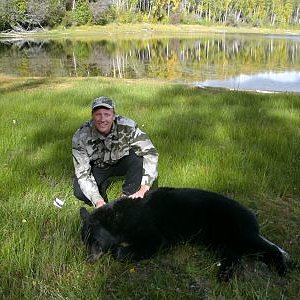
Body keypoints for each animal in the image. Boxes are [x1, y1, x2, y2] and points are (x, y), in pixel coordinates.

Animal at [79, 186, 288, 280]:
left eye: (94, 241)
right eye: (85, 242)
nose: (88, 259)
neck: (121, 218)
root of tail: (251, 214)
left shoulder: (150, 229)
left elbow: (153, 242)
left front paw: (118, 251)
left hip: (235, 228)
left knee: (261, 246)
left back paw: (282, 268)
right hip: (219, 240)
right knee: (232, 255)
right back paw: (224, 274)